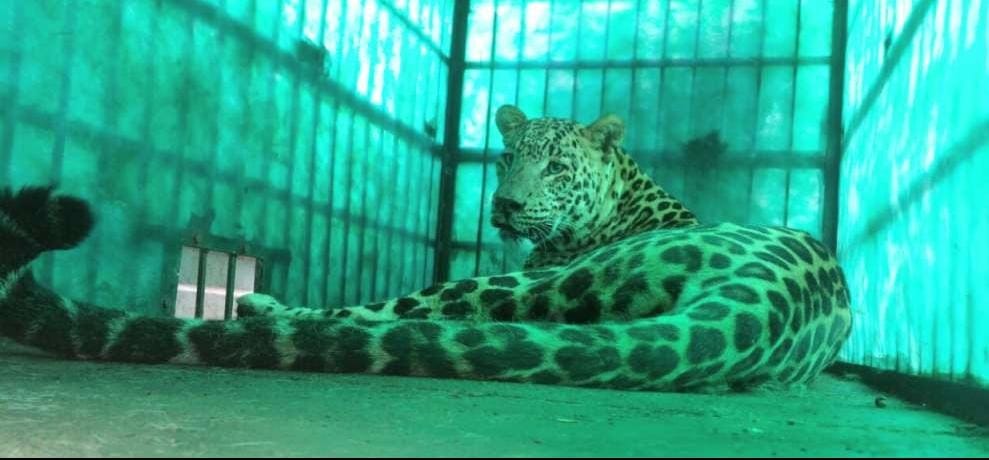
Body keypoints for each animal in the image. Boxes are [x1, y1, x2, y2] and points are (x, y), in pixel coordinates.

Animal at [0, 105, 852, 392]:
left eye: (556, 165)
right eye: (506, 156)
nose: (505, 205)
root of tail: (772, 299)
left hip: (516, 288)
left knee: (381, 313)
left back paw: (261, 303)